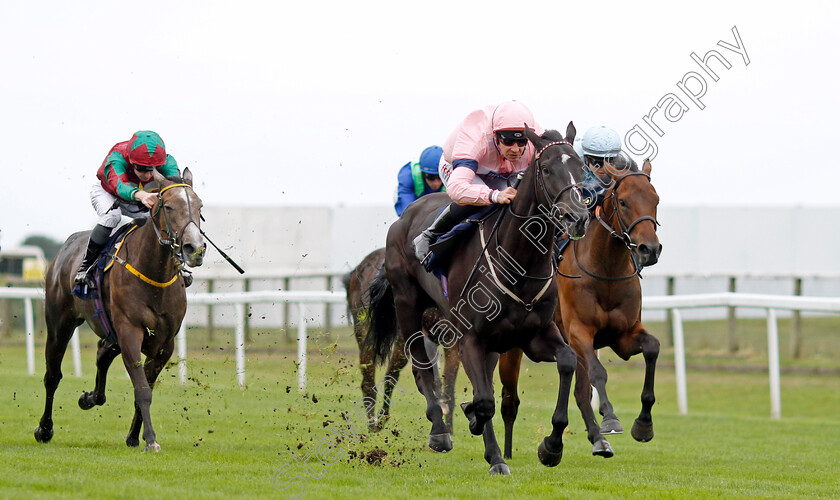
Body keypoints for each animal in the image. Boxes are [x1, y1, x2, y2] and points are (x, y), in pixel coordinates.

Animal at [35, 169, 207, 454]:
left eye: (200, 207)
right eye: (169, 207)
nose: (195, 249)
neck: (154, 275)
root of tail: (66, 246)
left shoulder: (164, 344)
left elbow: (145, 388)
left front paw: (134, 436)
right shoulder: (129, 332)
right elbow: (142, 390)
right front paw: (150, 439)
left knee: (102, 352)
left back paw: (90, 398)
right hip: (60, 324)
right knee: (52, 375)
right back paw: (45, 429)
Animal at [342, 248, 460, 432]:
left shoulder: (451, 341)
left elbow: (448, 385)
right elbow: (392, 376)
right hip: (365, 332)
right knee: (372, 378)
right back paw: (373, 423)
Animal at [368, 124, 592, 472]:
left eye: (580, 167)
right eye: (545, 168)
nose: (576, 217)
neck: (518, 263)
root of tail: (405, 217)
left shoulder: (535, 336)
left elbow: (567, 361)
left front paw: (551, 447)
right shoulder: (470, 337)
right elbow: (484, 400)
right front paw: (492, 450)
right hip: (407, 305)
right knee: (420, 367)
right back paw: (439, 430)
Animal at [498, 158, 664, 458]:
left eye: (655, 199)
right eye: (623, 201)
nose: (650, 249)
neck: (606, 270)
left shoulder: (622, 336)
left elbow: (652, 347)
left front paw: (643, 424)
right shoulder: (578, 332)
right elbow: (598, 373)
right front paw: (611, 417)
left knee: (579, 392)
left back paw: (587, 440)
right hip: (513, 346)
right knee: (509, 398)